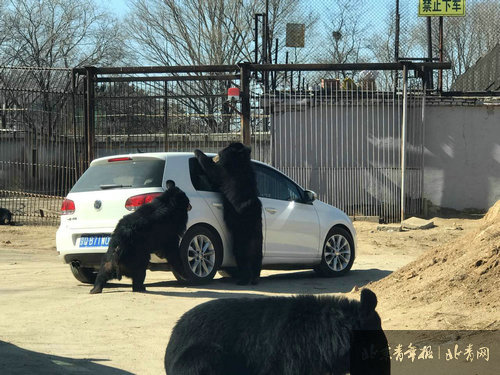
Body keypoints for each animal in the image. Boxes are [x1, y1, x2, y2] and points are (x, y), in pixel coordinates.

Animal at [194, 143, 264, 284]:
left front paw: (198, 152)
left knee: (242, 256)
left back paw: (244, 280)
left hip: (242, 236)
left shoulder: (227, 173)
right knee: (256, 258)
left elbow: (213, 171)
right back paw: (255, 278)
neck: (239, 161)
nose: (215, 156)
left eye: (221, 151)